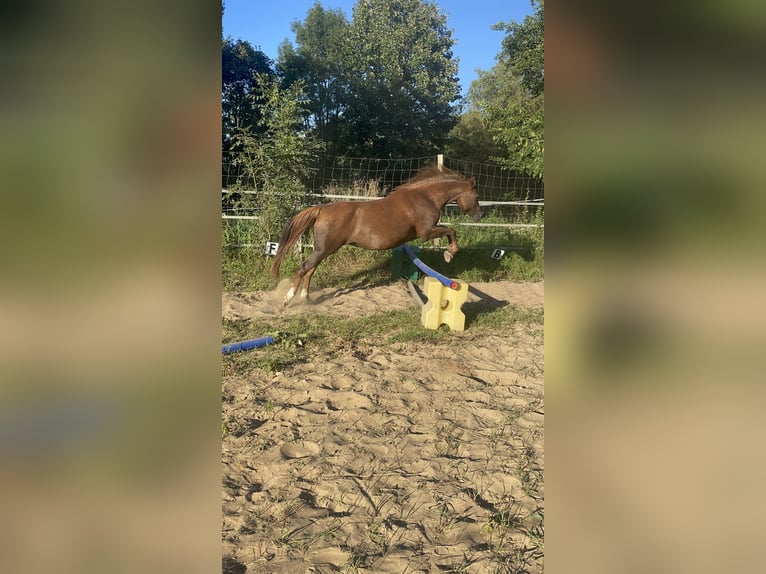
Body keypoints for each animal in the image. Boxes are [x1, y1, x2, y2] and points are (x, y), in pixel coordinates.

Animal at [270, 166, 482, 305]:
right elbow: (451, 231)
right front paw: (449, 254)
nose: (480, 216)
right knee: (304, 268)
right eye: (476, 196)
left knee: (310, 270)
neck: (425, 197)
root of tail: (321, 210)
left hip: (323, 250)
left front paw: (448, 254)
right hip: (324, 249)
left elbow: (450, 231)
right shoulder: (427, 232)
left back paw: (306, 298)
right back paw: (288, 299)